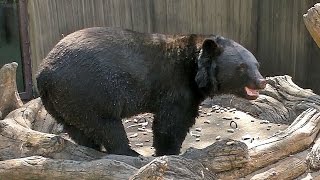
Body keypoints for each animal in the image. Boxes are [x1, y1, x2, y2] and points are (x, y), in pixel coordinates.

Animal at [35, 26, 264, 156]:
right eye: (242, 67)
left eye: (257, 64)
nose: (261, 82)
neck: (193, 65)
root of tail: (43, 73)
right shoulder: (175, 85)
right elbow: (172, 121)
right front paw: (169, 151)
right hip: (90, 92)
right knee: (106, 125)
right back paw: (129, 152)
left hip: (61, 102)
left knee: (78, 129)